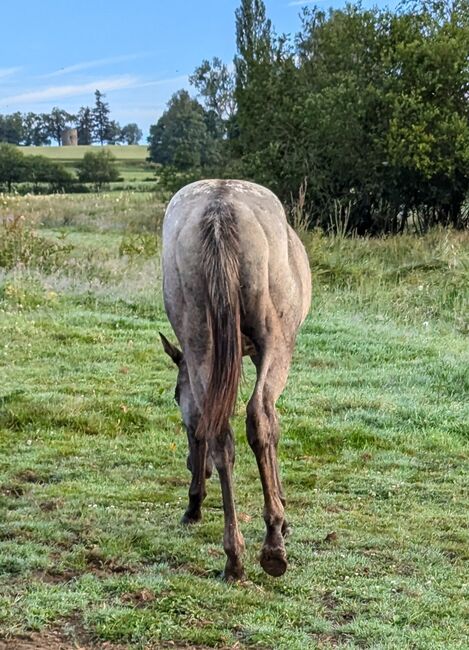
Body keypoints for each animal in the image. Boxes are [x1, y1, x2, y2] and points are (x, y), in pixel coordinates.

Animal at [160, 177, 310, 576]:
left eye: (174, 396)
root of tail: (220, 207)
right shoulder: (263, 355)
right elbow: (272, 425)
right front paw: (282, 514)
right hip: (276, 344)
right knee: (257, 418)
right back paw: (272, 543)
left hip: (200, 339)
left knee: (218, 433)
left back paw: (234, 557)